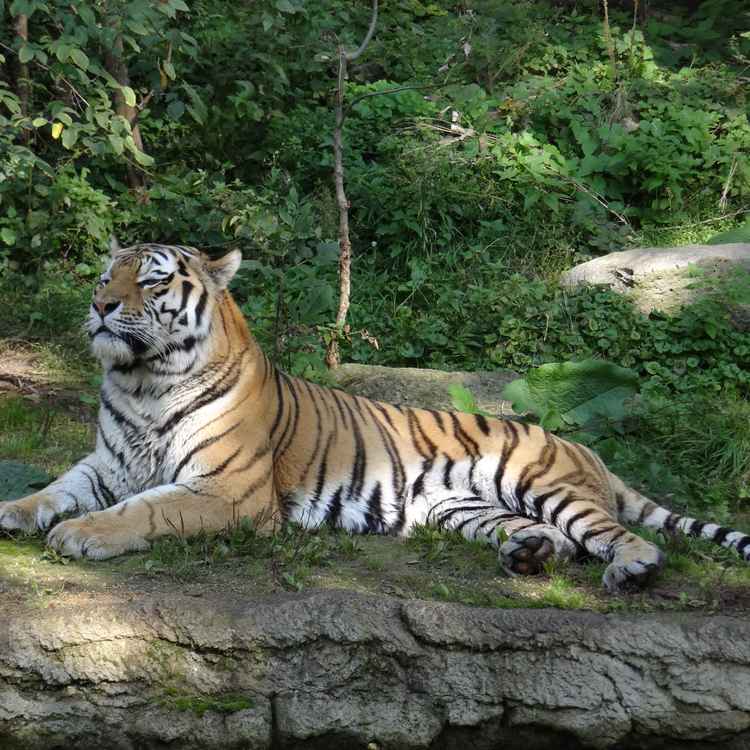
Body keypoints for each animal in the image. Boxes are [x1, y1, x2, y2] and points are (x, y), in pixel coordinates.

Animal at [1, 242, 748, 592]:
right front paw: (15, 511)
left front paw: (81, 536)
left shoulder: (228, 491)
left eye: (152, 280)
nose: (100, 306)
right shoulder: (107, 462)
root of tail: (585, 450)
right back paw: (528, 555)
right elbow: (55, 489)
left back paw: (632, 569)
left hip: (544, 482)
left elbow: (145, 509)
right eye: (108, 277)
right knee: (556, 541)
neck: (144, 381)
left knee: (618, 534)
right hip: (460, 508)